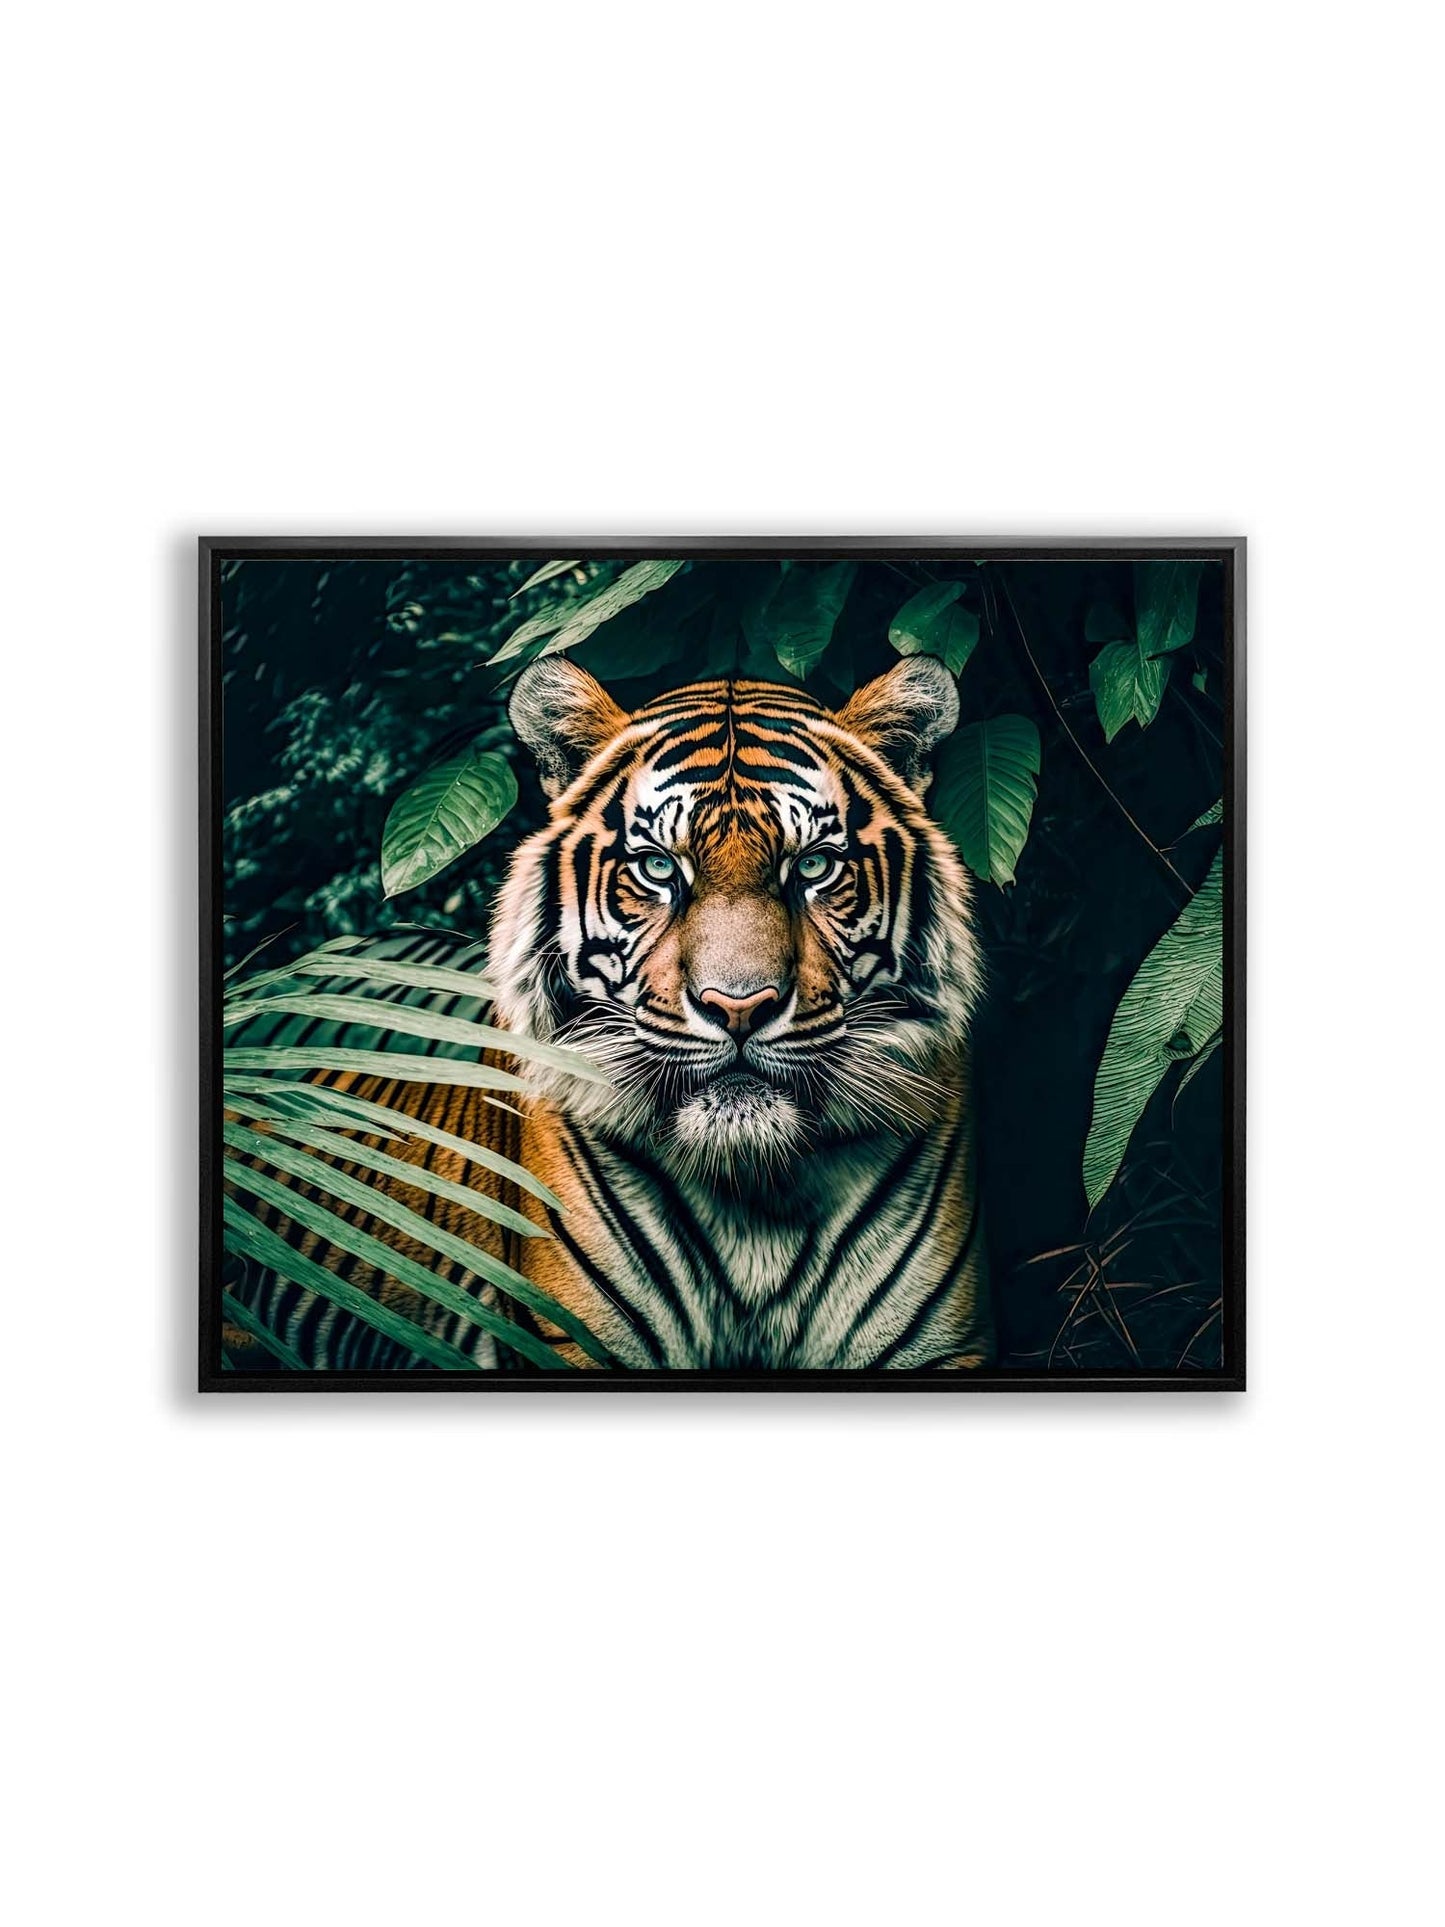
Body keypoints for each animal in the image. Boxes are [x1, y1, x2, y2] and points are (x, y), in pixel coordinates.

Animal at [223, 651, 992, 1372]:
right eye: (657, 868)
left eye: (812, 866)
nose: (739, 1007)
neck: (757, 1192)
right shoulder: (574, 1341)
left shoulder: (938, 1348)